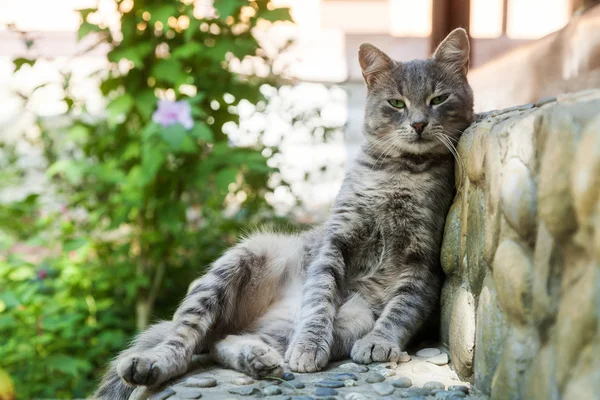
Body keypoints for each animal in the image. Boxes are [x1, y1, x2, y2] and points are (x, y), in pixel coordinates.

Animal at [95, 28, 474, 400]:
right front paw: (309, 346)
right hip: (232, 267)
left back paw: (258, 359)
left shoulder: (422, 263)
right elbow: (319, 300)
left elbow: (402, 310)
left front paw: (379, 343)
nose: (419, 124)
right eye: (397, 103)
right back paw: (151, 362)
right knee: (185, 336)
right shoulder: (335, 243)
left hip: (351, 318)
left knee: (222, 342)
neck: (399, 174)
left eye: (438, 99)